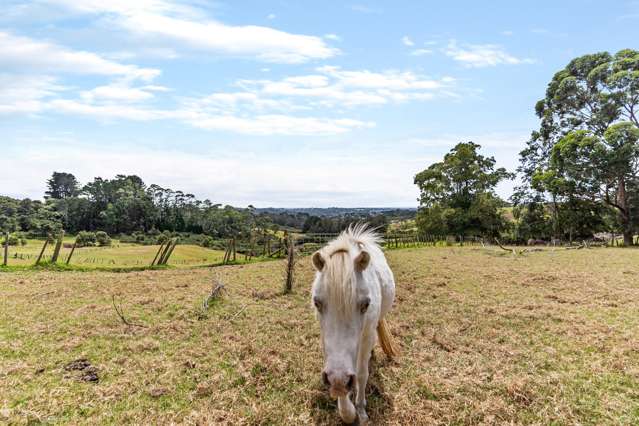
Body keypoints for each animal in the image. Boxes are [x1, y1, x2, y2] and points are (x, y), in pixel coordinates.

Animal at [312, 225, 400, 424]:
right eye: (316, 303)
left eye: (365, 304)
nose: (337, 380)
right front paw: (348, 411)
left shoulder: (366, 337)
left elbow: (361, 373)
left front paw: (359, 409)